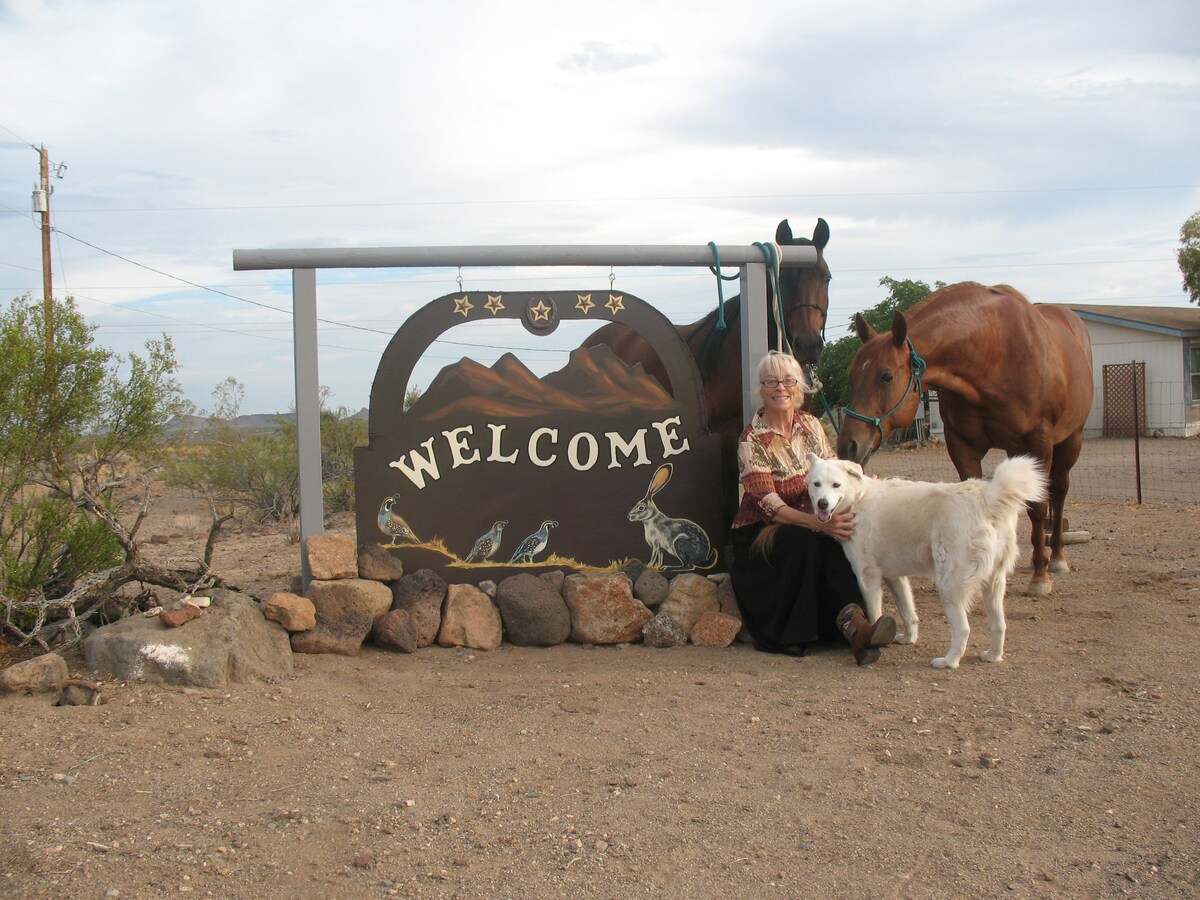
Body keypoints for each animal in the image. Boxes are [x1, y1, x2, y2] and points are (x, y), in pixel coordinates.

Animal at [806, 451, 1051, 672]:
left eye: (836, 485)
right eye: (816, 484)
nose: (822, 504)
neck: (857, 500)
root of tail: (986, 500)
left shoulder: (867, 576)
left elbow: (875, 614)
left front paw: (874, 638)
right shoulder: (895, 577)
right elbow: (908, 611)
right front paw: (908, 637)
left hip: (949, 586)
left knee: (963, 629)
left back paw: (949, 662)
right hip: (994, 584)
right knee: (999, 625)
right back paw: (992, 655)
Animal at [840, 282, 1094, 592]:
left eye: (886, 377)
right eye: (853, 375)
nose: (848, 445)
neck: (994, 356)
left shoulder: (1038, 443)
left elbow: (1037, 507)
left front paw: (1039, 576)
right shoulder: (962, 445)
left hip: (1070, 440)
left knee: (1059, 491)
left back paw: (1055, 557)